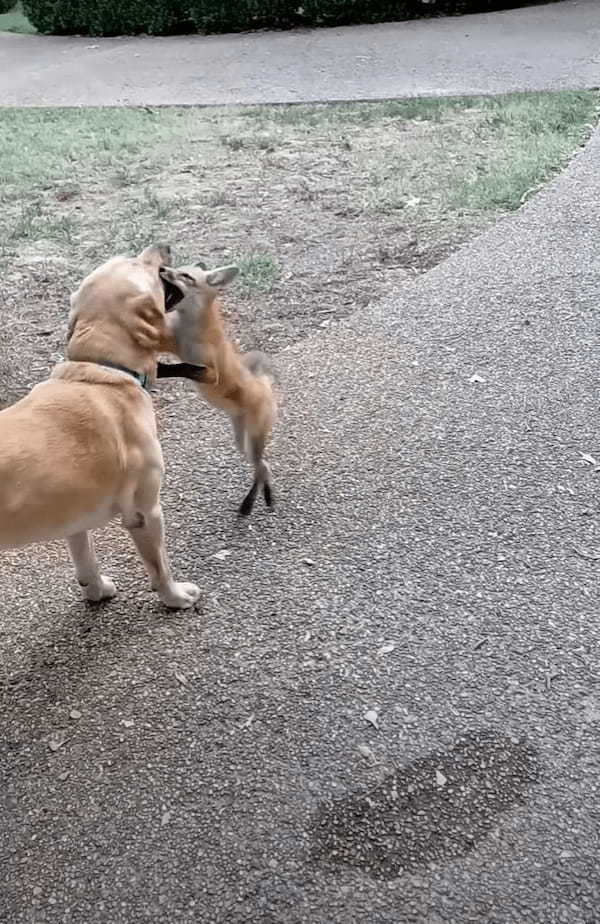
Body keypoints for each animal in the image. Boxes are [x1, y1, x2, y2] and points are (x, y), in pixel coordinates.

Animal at [0, 242, 202, 608]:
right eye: (141, 263)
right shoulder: (146, 512)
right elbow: (159, 566)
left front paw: (95, 589)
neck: (103, 369)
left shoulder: (71, 512)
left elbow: (84, 555)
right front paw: (175, 596)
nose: (162, 246)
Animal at [156, 264, 276, 516]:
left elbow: (186, 368)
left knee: (262, 467)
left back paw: (255, 501)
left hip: (253, 440)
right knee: (263, 466)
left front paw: (161, 369)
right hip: (241, 442)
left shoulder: (211, 373)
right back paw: (259, 498)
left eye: (186, 276)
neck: (189, 332)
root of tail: (265, 386)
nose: (162, 268)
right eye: (177, 268)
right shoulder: (170, 342)